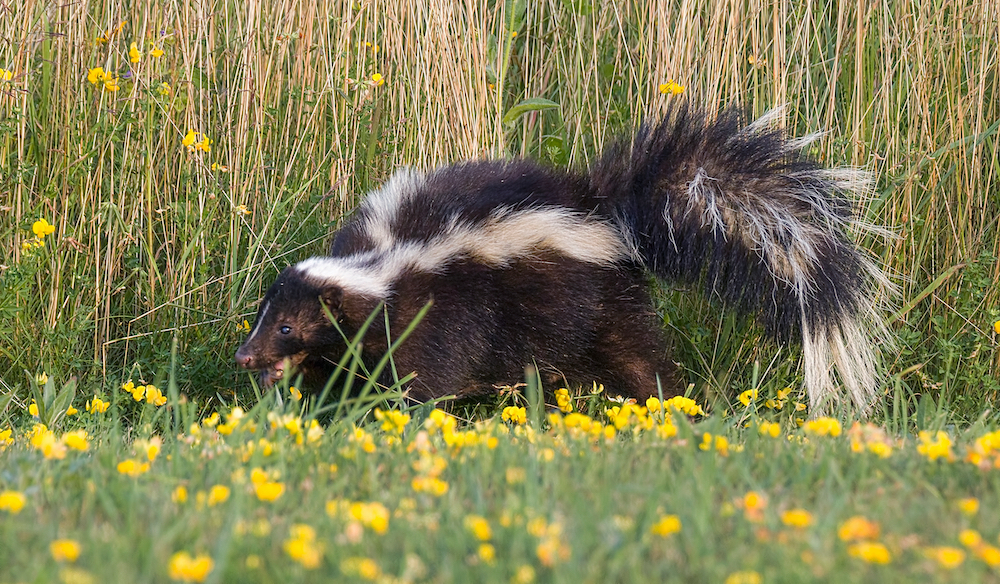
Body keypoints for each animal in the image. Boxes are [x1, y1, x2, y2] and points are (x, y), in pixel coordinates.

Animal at [236, 106, 892, 416]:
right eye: (264, 318)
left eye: (287, 326)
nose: (246, 356)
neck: (383, 265)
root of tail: (601, 207)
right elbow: (342, 371)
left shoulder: (439, 309)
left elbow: (422, 375)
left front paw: (392, 414)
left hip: (600, 299)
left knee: (635, 357)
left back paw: (670, 406)